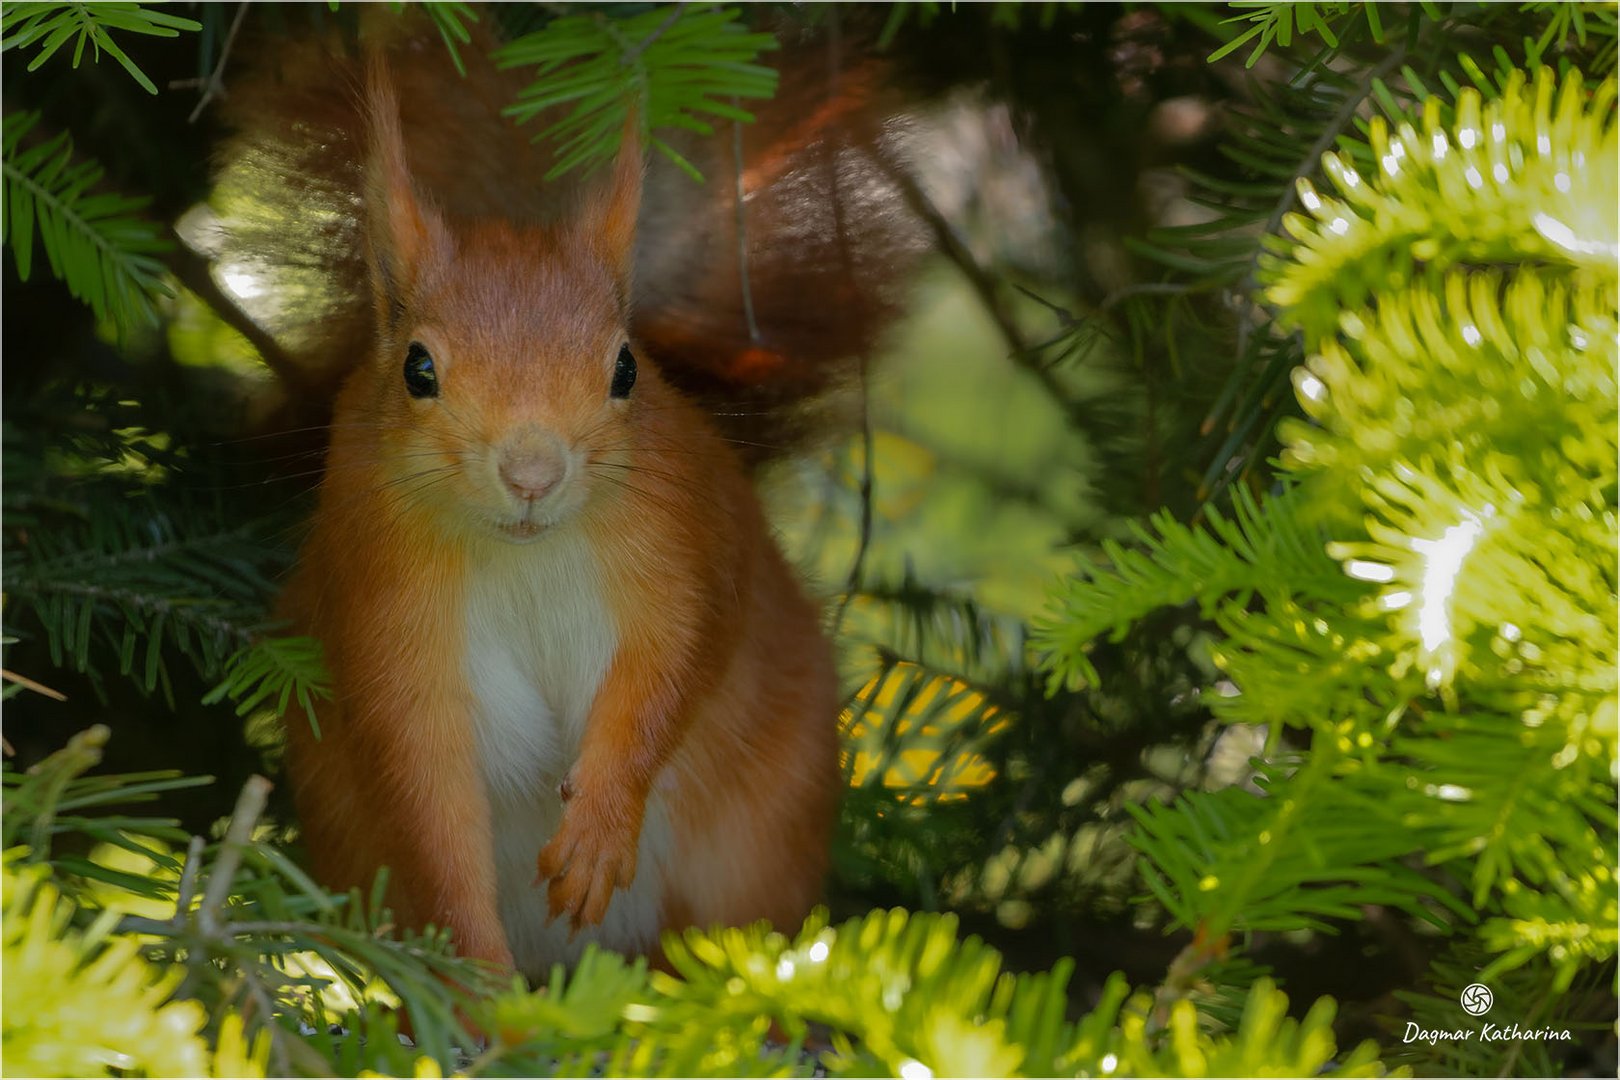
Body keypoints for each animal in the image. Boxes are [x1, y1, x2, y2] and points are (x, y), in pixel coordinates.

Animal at [225, 12, 926, 977]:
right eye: (417, 369)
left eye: (626, 368)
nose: (533, 474)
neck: (525, 553)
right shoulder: (381, 605)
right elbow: (423, 793)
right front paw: (475, 980)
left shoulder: (681, 542)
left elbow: (675, 668)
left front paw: (598, 827)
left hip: (757, 843)